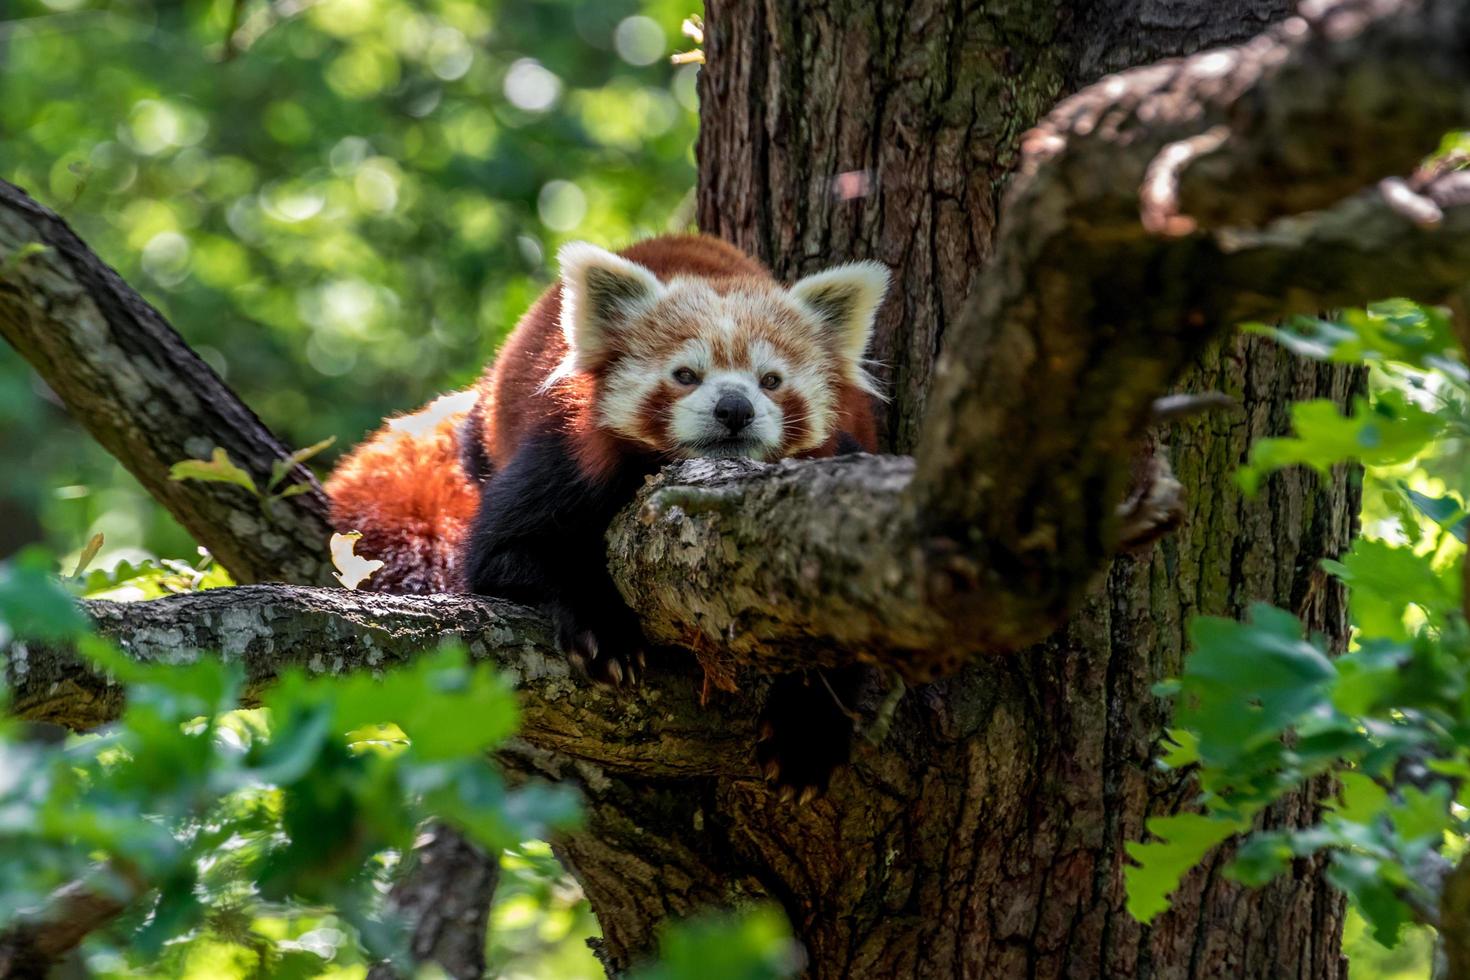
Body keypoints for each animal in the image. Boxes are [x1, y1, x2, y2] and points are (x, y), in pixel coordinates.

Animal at [329, 233, 887, 687]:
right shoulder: (568, 454)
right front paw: (603, 630)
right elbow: (504, 552)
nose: (734, 409)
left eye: (771, 380)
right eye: (685, 375)